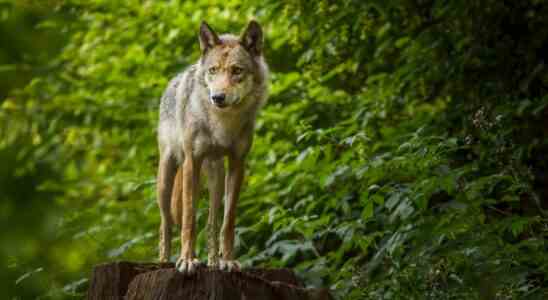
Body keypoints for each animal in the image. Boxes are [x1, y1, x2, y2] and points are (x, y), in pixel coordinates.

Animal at [155, 20, 268, 274]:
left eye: (237, 71)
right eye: (213, 70)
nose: (217, 97)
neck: (223, 123)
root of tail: (175, 80)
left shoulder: (237, 164)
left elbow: (228, 222)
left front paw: (227, 260)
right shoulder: (192, 162)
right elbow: (188, 220)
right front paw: (187, 260)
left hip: (216, 178)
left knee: (211, 222)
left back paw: (214, 262)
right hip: (168, 177)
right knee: (166, 223)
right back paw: (164, 261)